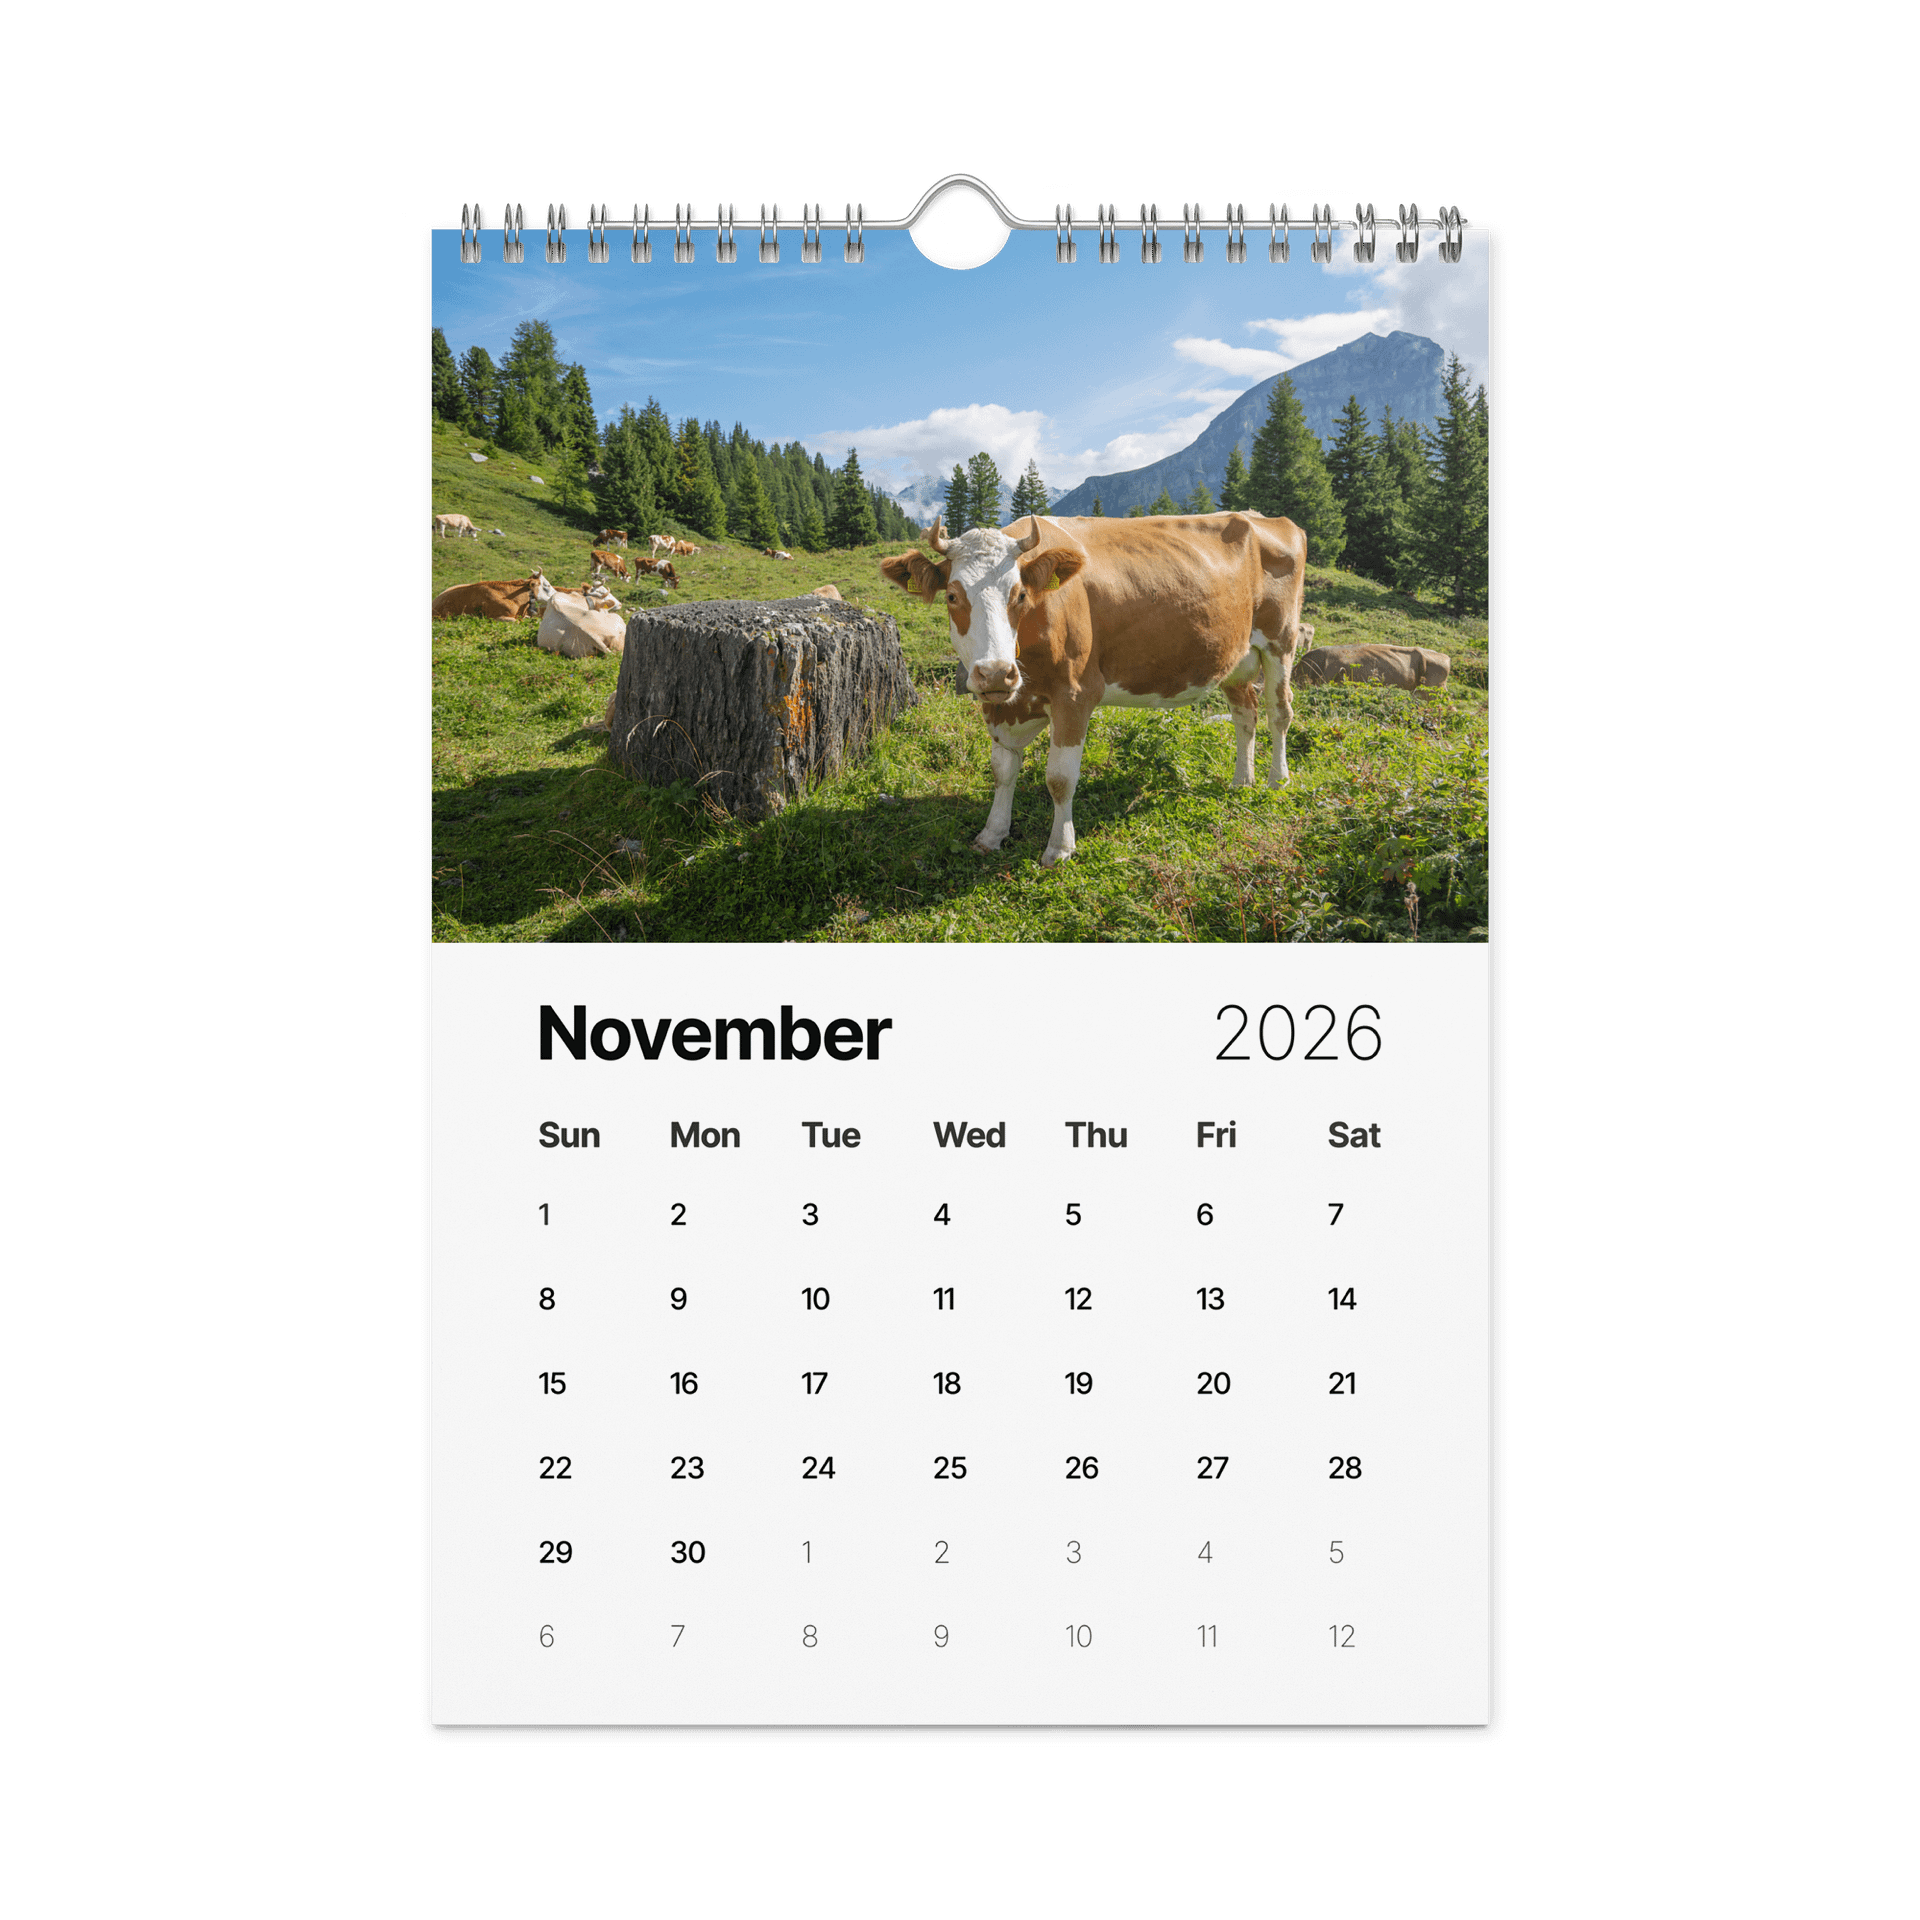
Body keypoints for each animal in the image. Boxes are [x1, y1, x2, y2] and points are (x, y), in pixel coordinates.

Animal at [879, 510, 1306, 866]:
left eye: (1020, 595)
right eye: (952, 596)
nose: (997, 673)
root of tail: (1266, 517)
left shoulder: (1075, 694)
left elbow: (1060, 778)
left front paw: (1059, 847)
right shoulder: (1001, 703)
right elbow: (1002, 769)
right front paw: (992, 833)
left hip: (1280, 641)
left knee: (1279, 711)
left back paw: (1277, 780)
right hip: (1234, 656)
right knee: (1245, 713)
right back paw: (1241, 781)